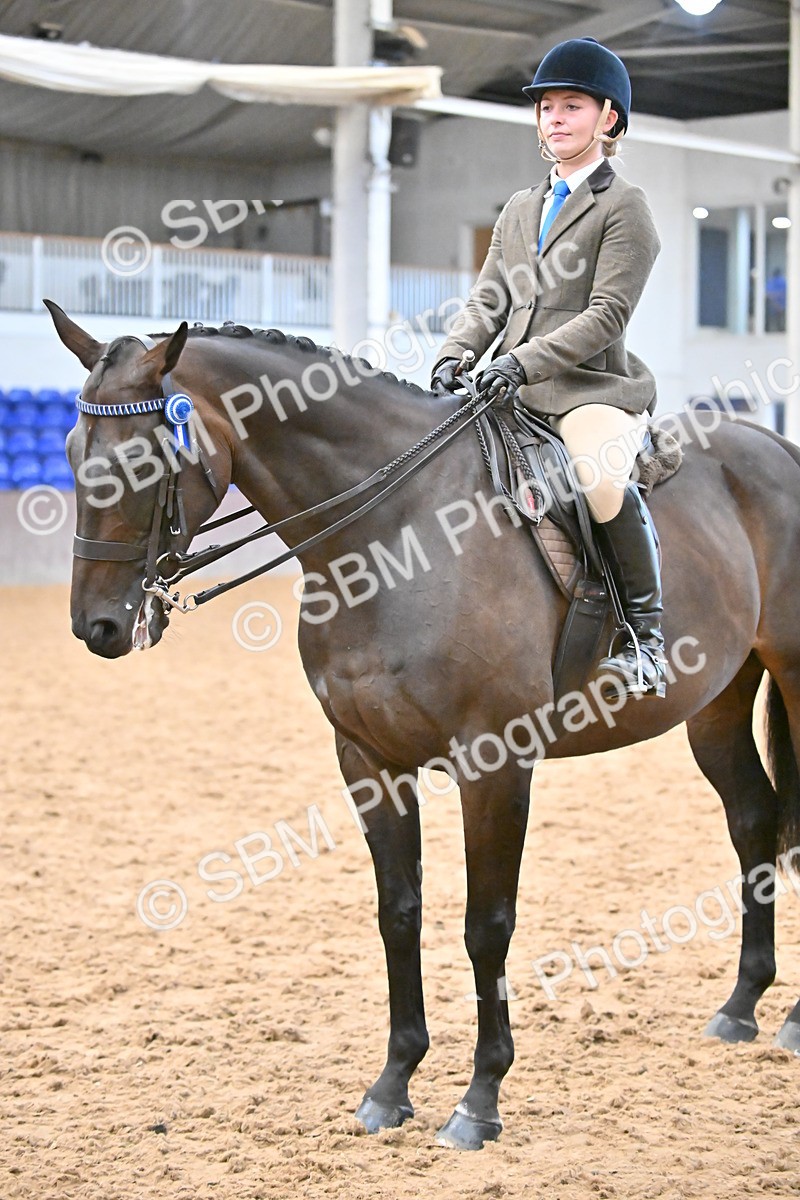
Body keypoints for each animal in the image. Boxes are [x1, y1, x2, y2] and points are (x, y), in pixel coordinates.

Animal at [46, 299, 800, 1151]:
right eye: (71, 451)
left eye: (142, 463)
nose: (98, 627)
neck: (390, 533)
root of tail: (775, 444)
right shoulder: (368, 760)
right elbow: (397, 913)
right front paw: (392, 1084)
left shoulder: (494, 762)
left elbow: (486, 925)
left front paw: (479, 1101)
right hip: (716, 702)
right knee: (752, 817)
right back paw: (740, 1008)